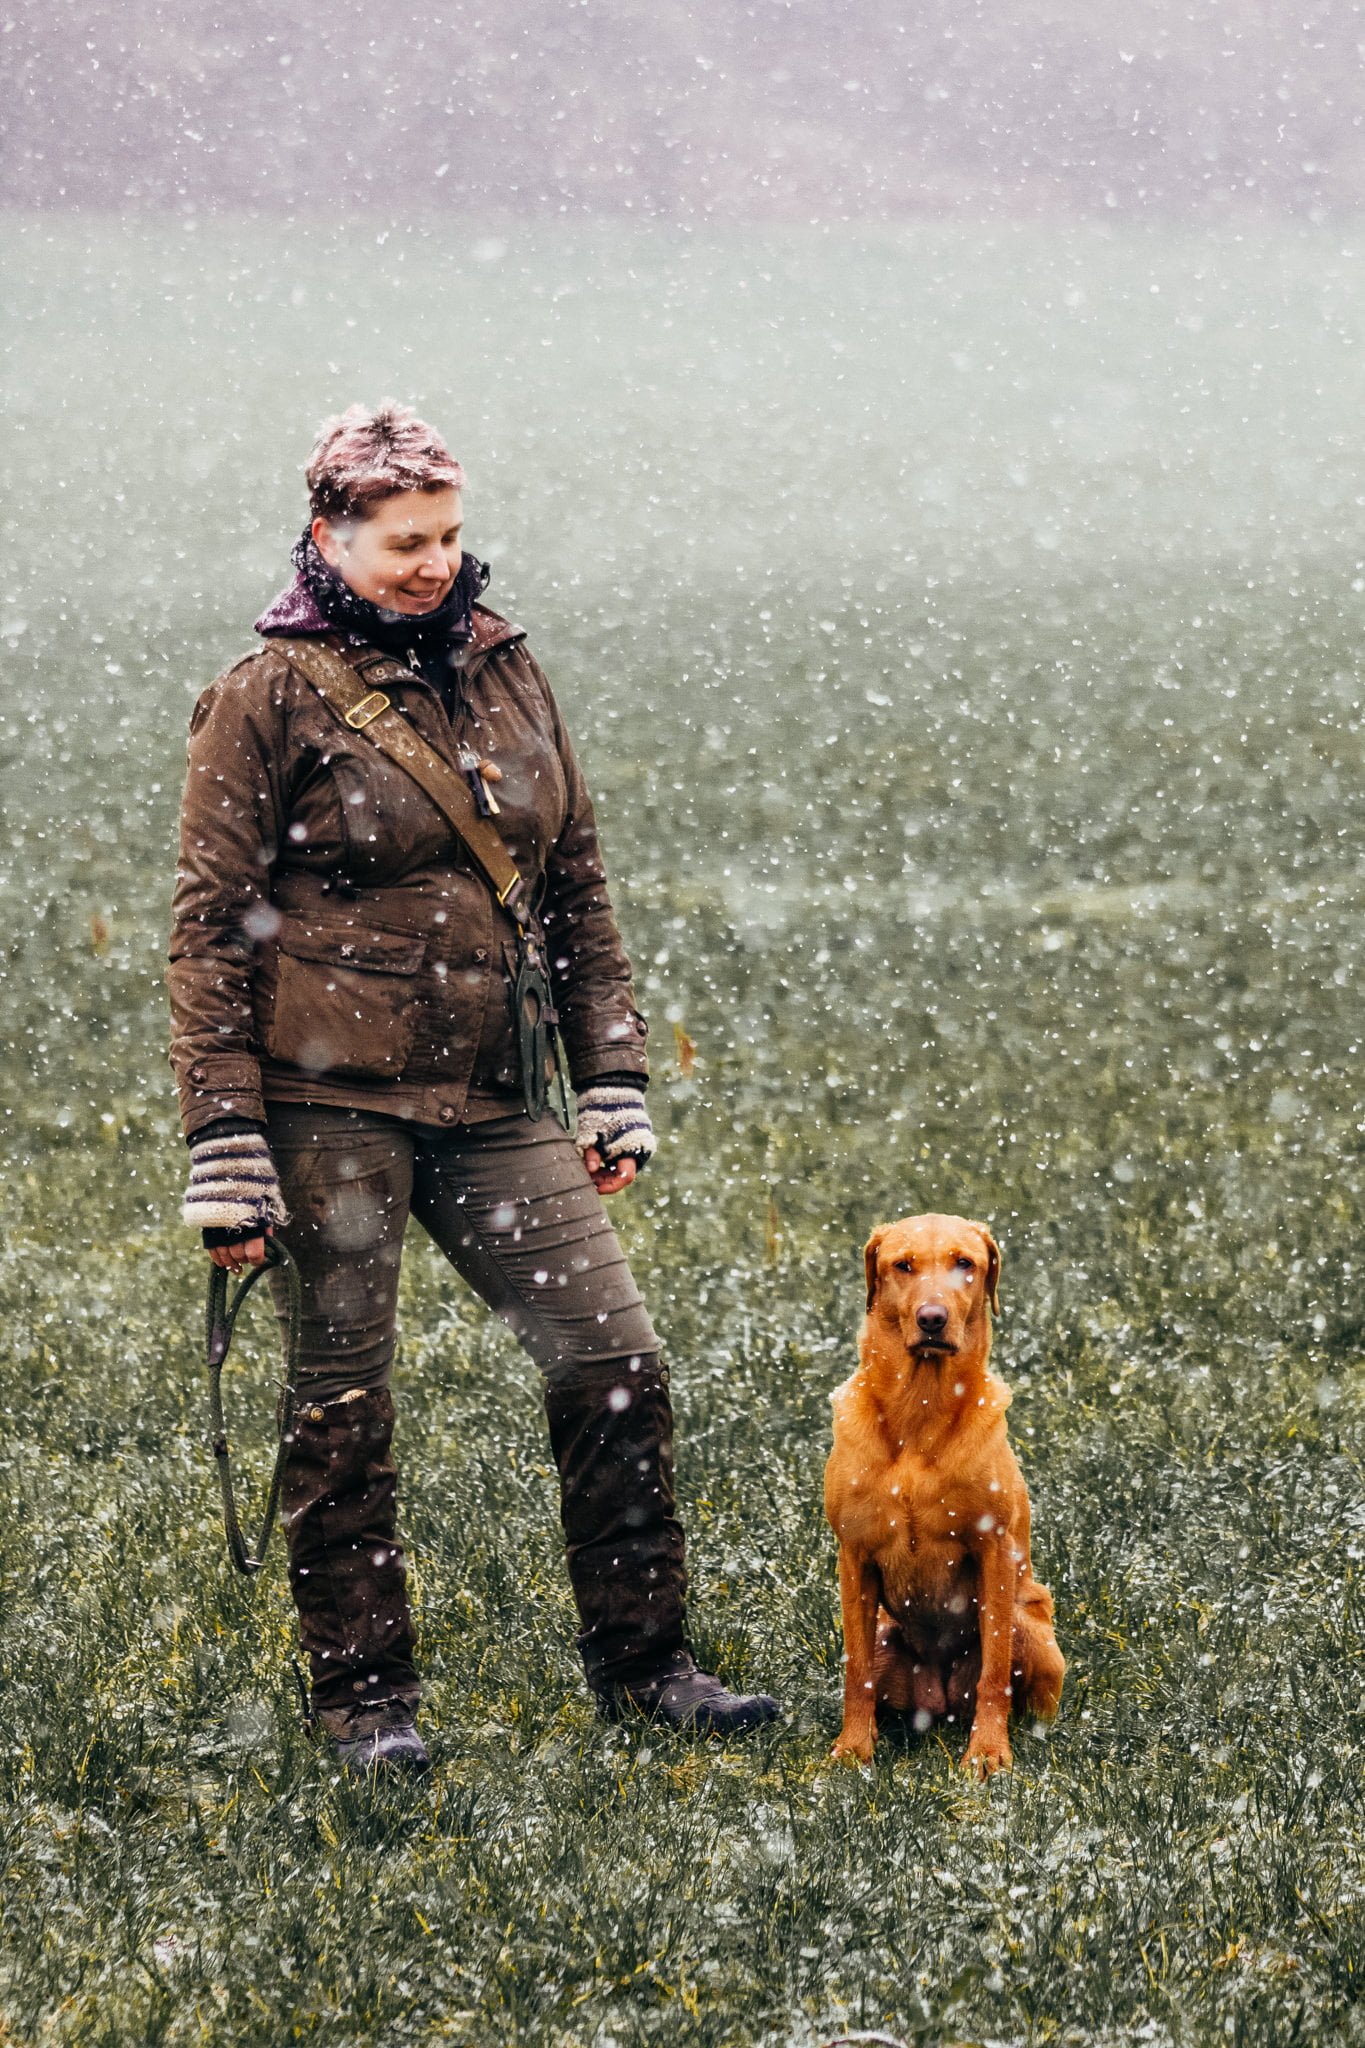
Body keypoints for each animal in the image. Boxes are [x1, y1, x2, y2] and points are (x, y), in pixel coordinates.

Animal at [822, 1212, 1064, 1777]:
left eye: (964, 1264)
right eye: (903, 1266)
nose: (932, 1319)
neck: (920, 1409)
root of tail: (942, 1702)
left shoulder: (994, 1549)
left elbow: (995, 1672)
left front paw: (989, 1753)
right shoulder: (854, 1556)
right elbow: (856, 1671)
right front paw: (854, 1748)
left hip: (1030, 1622)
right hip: (888, 1634)